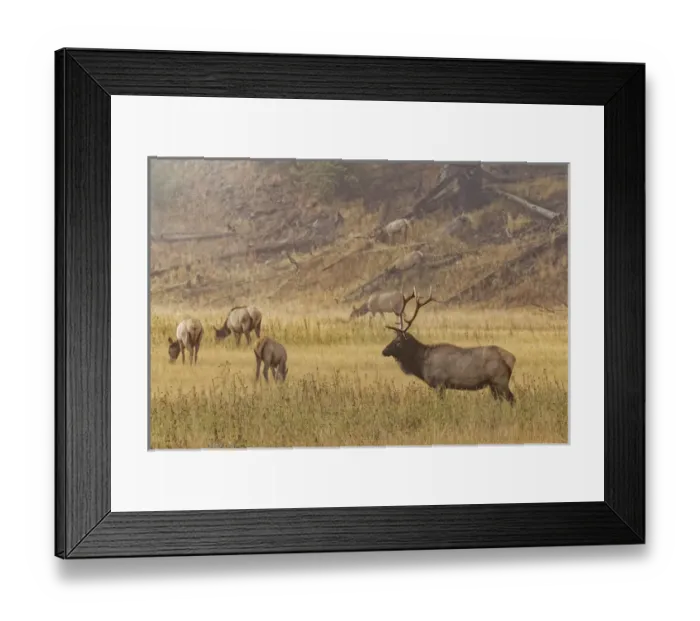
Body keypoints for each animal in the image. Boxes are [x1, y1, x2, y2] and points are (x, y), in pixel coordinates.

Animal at [381, 287, 517, 405]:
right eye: (393, 338)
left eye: (398, 342)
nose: (384, 351)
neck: (421, 365)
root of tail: (512, 358)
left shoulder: (439, 383)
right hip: (493, 384)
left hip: (500, 380)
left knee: (512, 399)